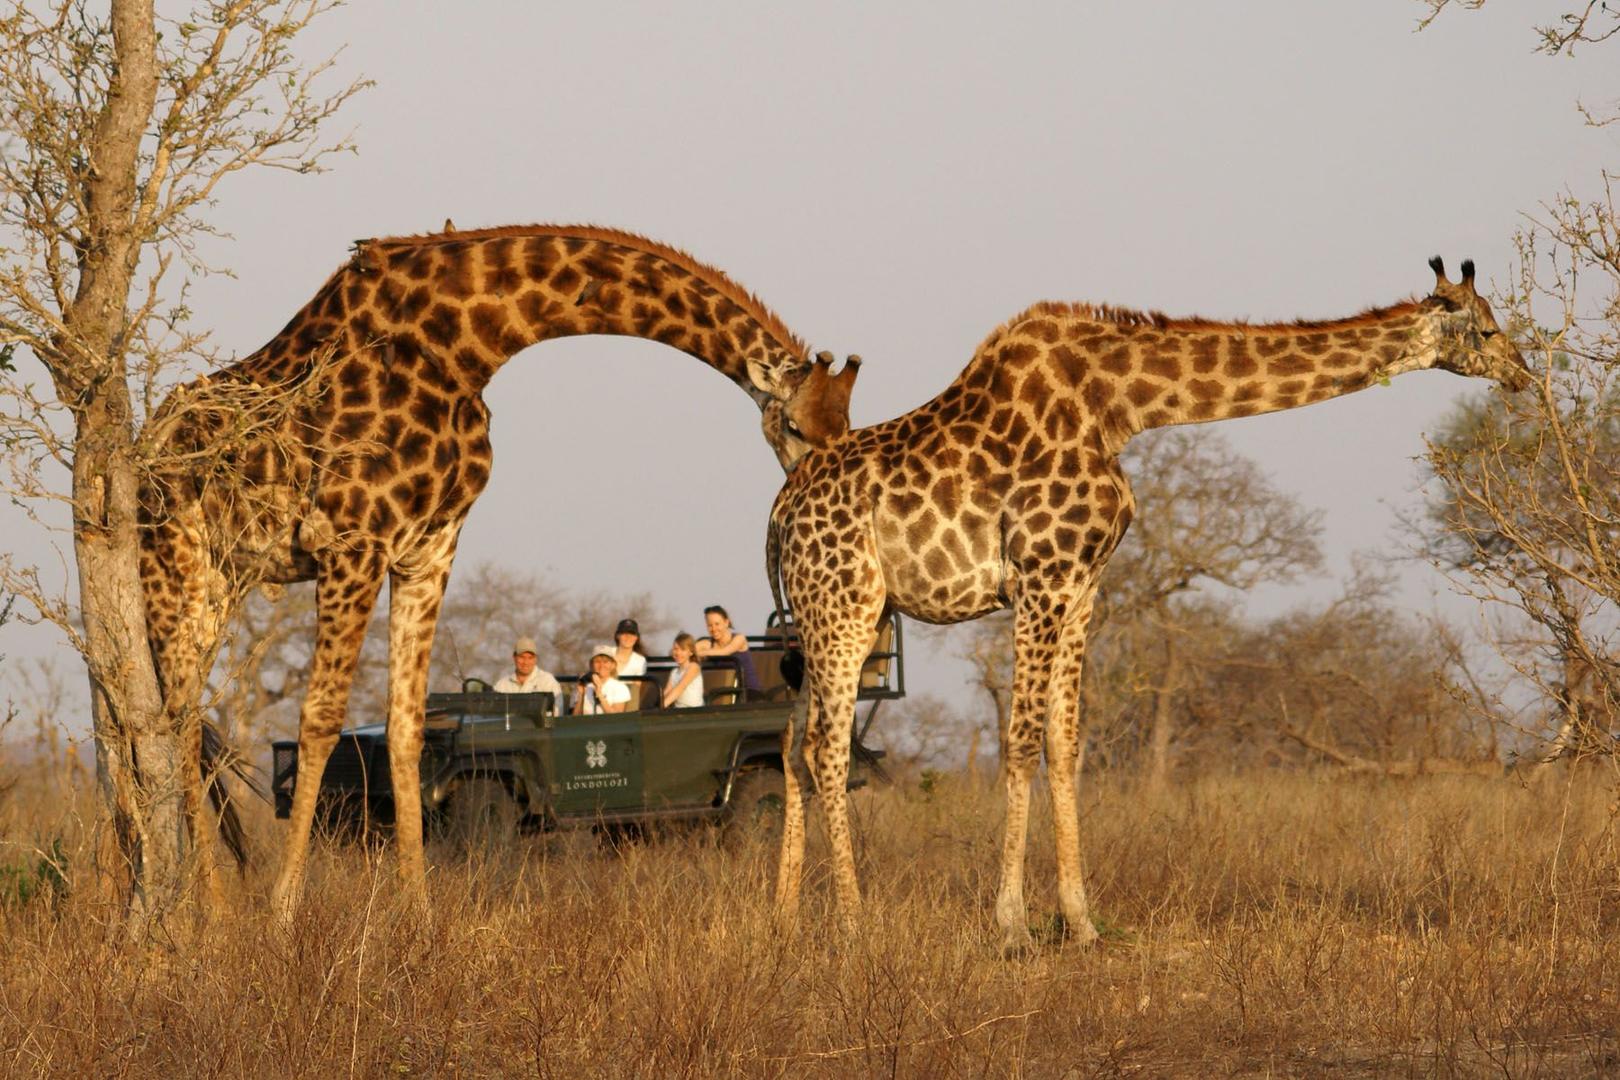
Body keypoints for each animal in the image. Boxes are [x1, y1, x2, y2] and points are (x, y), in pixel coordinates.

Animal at [139, 224, 859, 919]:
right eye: (795, 425)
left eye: (845, 424)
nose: (818, 482)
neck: (471, 342)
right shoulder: (353, 542)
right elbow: (318, 719)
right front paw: (285, 910)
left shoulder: (429, 546)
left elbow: (405, 725)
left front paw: (418, 912)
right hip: (173, 562)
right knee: (173, 718)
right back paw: (211, 910)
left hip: (222, 580)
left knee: (181, 718)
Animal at [767, 257, 1530, 952]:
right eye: (1488, 329)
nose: (1524, 373)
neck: (1120, 407)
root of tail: (779, 513)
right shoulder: (1041, 577)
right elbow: (1021, 740)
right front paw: (1012, 927)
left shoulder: (1082, 587)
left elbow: (1065, 744)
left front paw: (1081, 925)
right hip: (845, 606)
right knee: (828, 746)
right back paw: (854, 925)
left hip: (824, 616)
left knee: (791, 746)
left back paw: (789, 922)